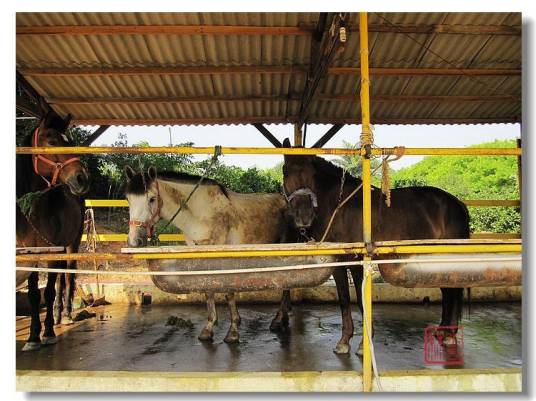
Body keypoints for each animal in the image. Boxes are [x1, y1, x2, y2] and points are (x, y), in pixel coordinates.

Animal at [16, 112, 89, 350]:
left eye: (71, 143)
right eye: (51, 141)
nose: (82, 178)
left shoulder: (52, 251)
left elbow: (47, 291)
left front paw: (46, 333)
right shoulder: (28, 253)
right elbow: (33, 294)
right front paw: (32, 336)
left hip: (71, 245)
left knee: (67, 276)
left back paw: (65, 314)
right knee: (60, 279)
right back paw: (57, 316)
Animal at [124, 165, 294, 340]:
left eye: (152, 199)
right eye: (128, 199)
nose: (134, 241)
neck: (201, 213)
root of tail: (285, 200)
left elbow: (228, 291)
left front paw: (233, 331)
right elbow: (208, 288)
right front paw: (209, 327)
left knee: (287, 284)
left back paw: (279, 320)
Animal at [280, 139, 468, 354]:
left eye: (311, 172)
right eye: (286, 171)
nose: (305, 216)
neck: (338, 207)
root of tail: (457, 204)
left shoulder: (357, 263)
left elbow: (361, 302)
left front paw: (363, 345)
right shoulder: (337, 264)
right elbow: (344, 300)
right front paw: (344, 341)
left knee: (451, 290)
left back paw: (449, 336)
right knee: (447, 291)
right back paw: (443, 331)